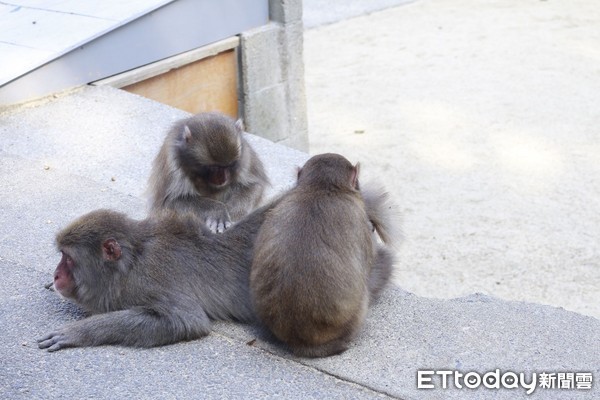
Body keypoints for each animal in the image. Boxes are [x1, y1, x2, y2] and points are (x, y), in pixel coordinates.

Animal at [37, 200, 278, 350]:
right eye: (62, 255)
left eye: (68, 258)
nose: (57, 275)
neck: (132, 262)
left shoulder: (147, 280)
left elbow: (188, 320)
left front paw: (81, 331)